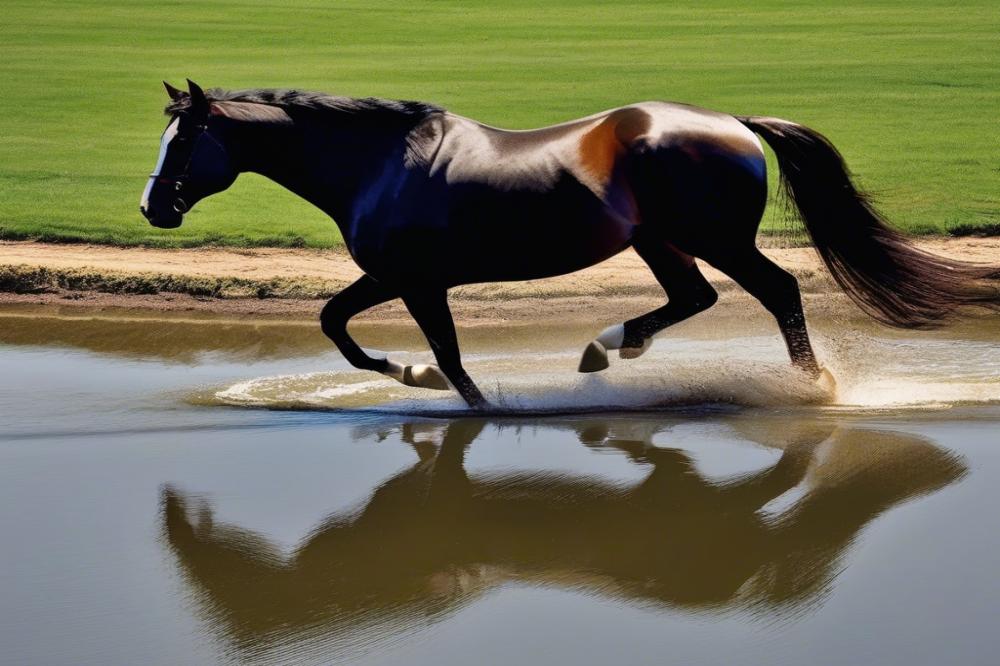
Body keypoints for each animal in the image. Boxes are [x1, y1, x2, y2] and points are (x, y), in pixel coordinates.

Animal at [141, 80, 1000, 408]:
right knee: (693, 297)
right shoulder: (396, 279)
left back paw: (812, 386)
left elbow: (441, 353)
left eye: (185, 144)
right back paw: (607, 348)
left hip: (711, 238)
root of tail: (733, 123)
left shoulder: (415, 281)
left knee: (776, 291)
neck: (382, 163)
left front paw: (455, 395)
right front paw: (411, 375)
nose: (154, 206)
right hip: (661, 243)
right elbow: (336, 324)